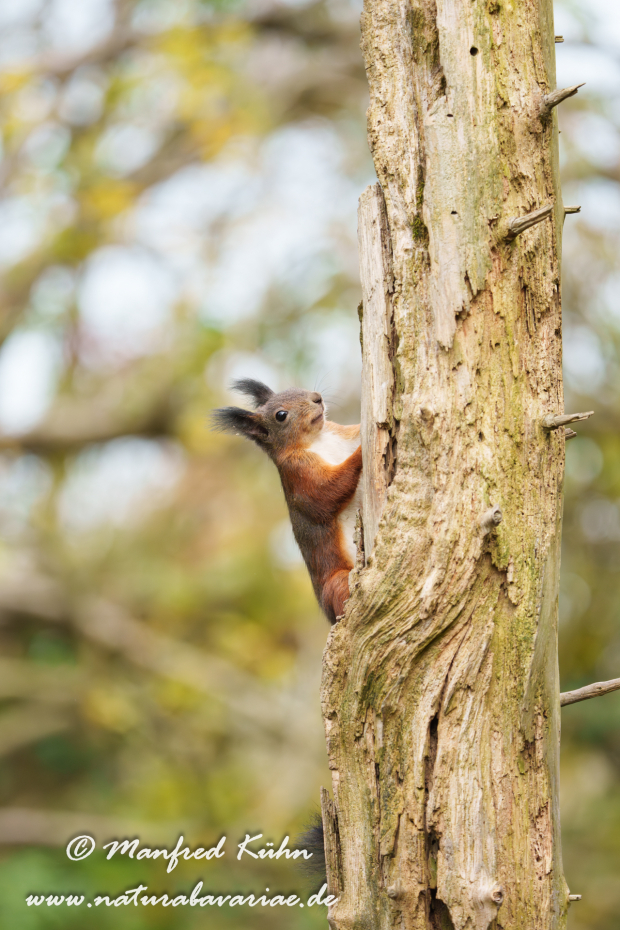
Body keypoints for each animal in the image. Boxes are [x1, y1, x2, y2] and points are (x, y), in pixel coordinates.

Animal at [213, 379, 362, 624]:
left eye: (295, 389)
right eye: (281, 415)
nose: (317, 398)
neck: (317, 439)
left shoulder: (340, 432)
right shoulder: (299, 474)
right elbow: (326, 493)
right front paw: (361, 452)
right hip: (337, 583)